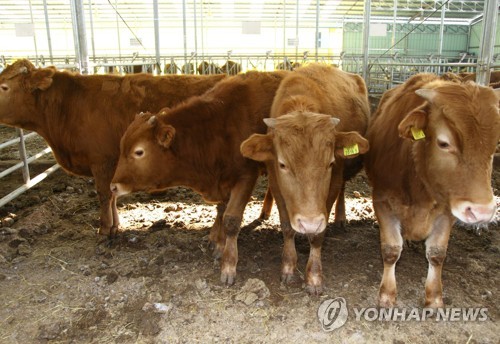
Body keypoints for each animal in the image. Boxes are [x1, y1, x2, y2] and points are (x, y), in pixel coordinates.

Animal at [0, 59, 225, 236]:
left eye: (3, 87)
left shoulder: (102, 161)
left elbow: (104, 194)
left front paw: (105, 228)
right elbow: (113, 194)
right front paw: (115, 225)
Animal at [111, 70, 288, 284]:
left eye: (139, 152)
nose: (114, 186)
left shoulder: (246, 176)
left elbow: (231, 219)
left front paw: (228, 264)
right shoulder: (221, 181)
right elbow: (221, 210)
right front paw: (218, 242)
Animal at [240, 63, 370, 292]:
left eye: (330, 163)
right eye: (283, 164)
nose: (309, 223)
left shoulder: (333, 181)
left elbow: (318, 234)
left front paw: (314, 276)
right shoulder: (276, 184)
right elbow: (286, 227)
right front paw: (288, 267)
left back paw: (341, 218)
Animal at [364, 73, 500, 310]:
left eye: (494, 146)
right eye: (444, 143)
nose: (482, 212)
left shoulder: (448, 209)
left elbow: (437, 254)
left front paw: (434, 298)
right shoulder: (381, 201)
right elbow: (391, 249)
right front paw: (387, 295)